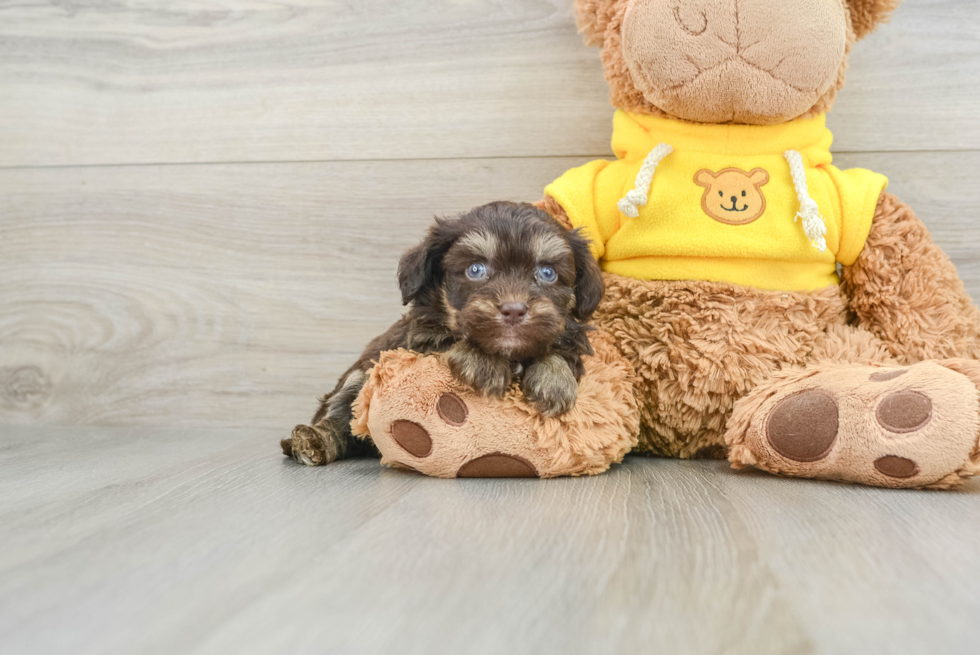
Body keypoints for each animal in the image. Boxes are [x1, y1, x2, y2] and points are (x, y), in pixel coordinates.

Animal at [282, 200, 604, 466]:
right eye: (476, 269)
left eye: (547, 273)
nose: (514, 310)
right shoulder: (417, 343)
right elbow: (449, 341)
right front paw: (483, 362)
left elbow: (560, 349)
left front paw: (554, 379)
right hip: (359, 376)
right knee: (339, 416)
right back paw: (312, 441)